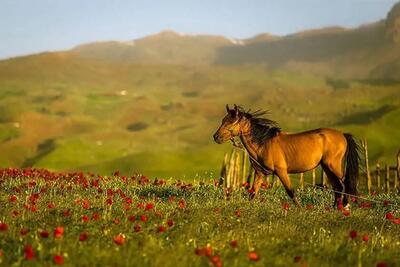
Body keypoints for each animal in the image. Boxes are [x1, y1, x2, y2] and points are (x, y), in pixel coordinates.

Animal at [214, 104, 360, 209]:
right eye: (223, 120)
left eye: (231, 122)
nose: (216, 137)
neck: (264, 144)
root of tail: (343, 135)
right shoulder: (260, 173)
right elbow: (253, 193)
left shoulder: (281, 171)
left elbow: (290, 192)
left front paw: (300, 209)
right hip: (326, 167)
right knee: (337, 187)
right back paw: (335, 208)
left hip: (333, 165)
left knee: (344, 183)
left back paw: (345, 207)